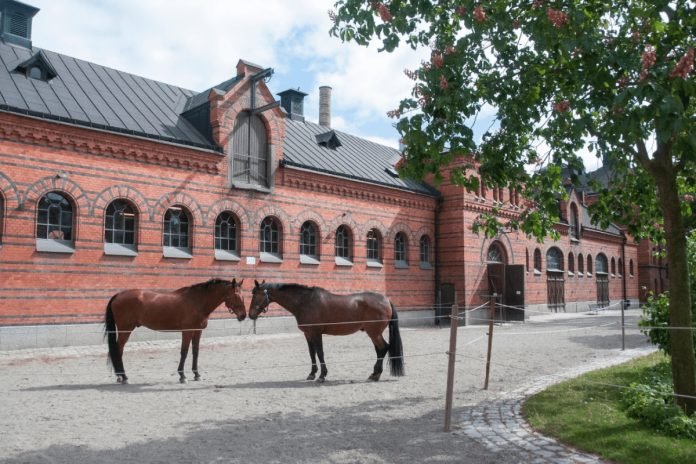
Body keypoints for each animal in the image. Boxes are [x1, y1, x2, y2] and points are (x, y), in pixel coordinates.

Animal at [102, 280, 246, 384]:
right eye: (236, 295)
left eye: (243, 295)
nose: (243, 316)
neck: (197, 302)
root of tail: (118, 295)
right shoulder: (187, 331)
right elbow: (184, 352)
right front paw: (182, 376)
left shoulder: (197, 331)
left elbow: (195, 352)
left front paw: (196, 374)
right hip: (125, 330)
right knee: (118, 350)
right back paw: (124, 377)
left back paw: (120, 376)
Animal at [249, 280, 402, 382]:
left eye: (255, 294)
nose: (250, 315)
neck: (306, 302)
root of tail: (386, 300)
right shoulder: (308, 334)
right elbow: (312, 354)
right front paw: (312, 374)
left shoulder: (317, 333)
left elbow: (320, 353)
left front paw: (322, 376)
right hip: (374, 333)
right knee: (380, 350)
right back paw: (374, 374)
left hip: (374, 333)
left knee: (383, 348)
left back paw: (375, 375)